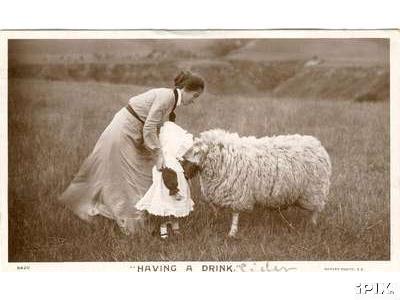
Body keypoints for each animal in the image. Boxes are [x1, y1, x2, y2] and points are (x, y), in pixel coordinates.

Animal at [184, 130, 332, 238]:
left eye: (194, 153)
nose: (184, 174)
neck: (224, 157)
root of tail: (318, 145)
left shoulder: (238, 194)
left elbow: (235, 214)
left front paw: (232, 232)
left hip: (314, 191)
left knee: (315, 210)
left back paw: (312, 224)